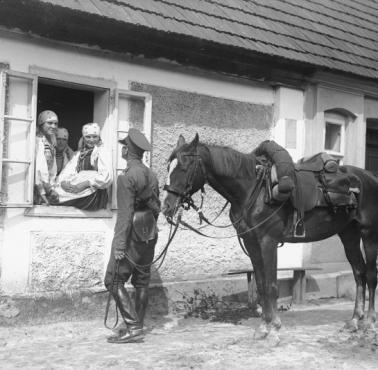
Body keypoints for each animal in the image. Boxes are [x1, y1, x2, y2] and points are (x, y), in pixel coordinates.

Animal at [162, 134, 378, 342]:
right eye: (168, 166)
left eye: (184, 167)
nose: (167, 207)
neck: (253, 190)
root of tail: (369, 178)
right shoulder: (252, 243)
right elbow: (261, 285)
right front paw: (263, 328)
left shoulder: (268, 242)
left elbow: (272, 286)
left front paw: (274, 329)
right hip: (349, 235)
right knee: (359, 274)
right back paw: (354, 322)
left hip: (368, 235)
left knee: (371, 275)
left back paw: (369, 323)